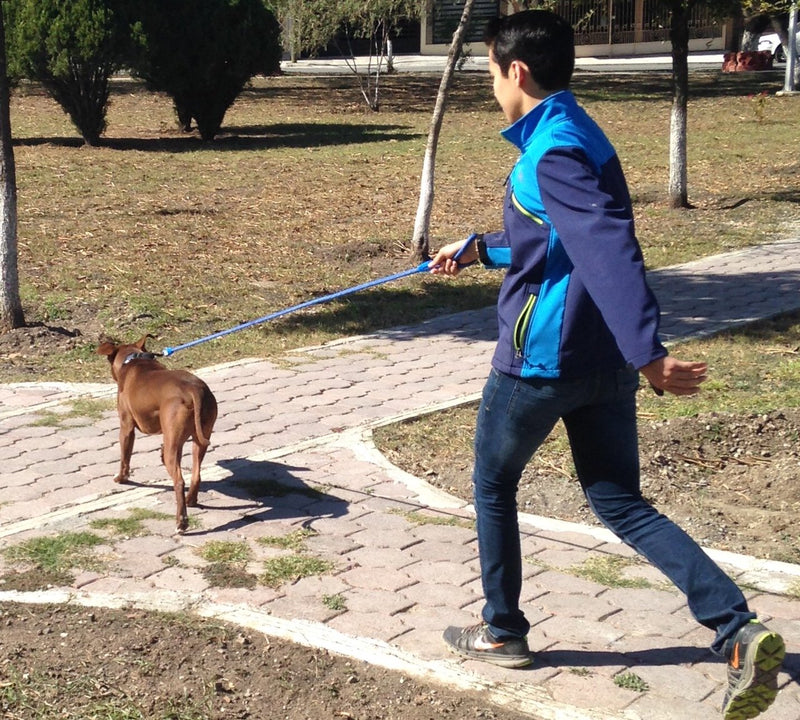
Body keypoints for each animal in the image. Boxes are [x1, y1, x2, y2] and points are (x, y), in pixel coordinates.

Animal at [97, 334, 219, 532]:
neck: (133, 359)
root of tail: (194, 389)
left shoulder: (126, 427)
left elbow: (125, 457)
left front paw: (121, 478)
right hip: (198, 438)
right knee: (196, 473)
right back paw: (191, 500)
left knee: (179, 481)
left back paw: (181, 521)